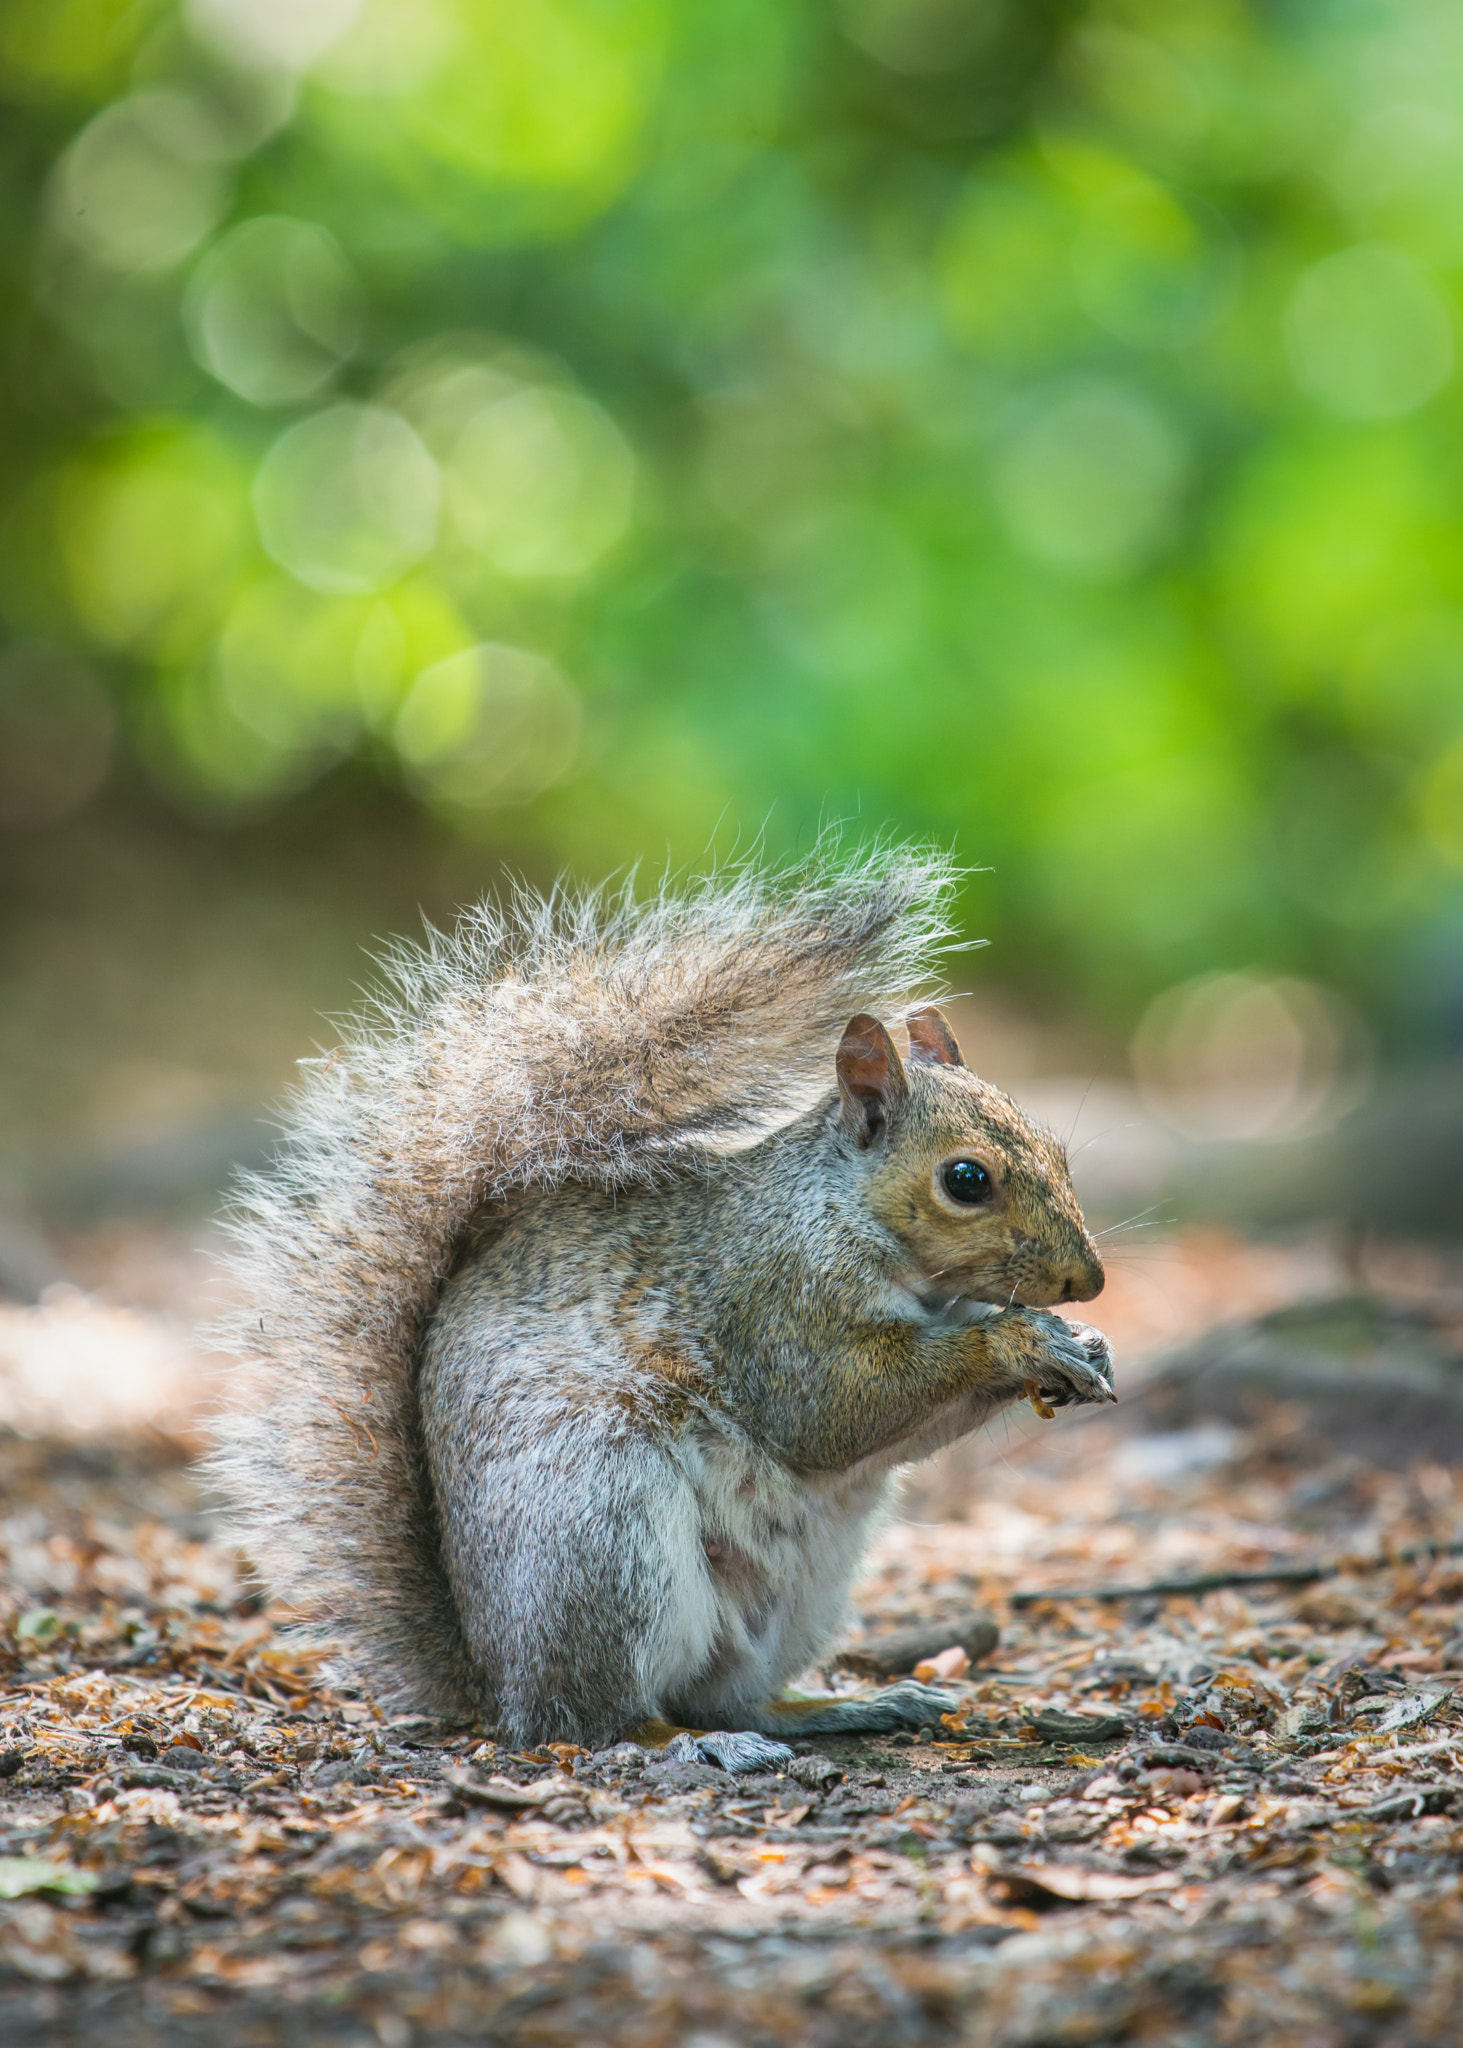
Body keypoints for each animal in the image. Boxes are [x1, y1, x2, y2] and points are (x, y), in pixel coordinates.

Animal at [214, 839, 1106, 1769]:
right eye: (965, 1180)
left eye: (1055, 1149)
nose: (1087, 1281)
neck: (843, 1212)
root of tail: (496, 1682)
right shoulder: (773, 1302)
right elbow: (832, 1411)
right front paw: (1018, 1342)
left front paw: (1078, 1344)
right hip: (602, 1530)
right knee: (597, 1719)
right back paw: (689, 1744)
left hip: (798, 1592)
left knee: (727, 1694)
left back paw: (838, 1705)